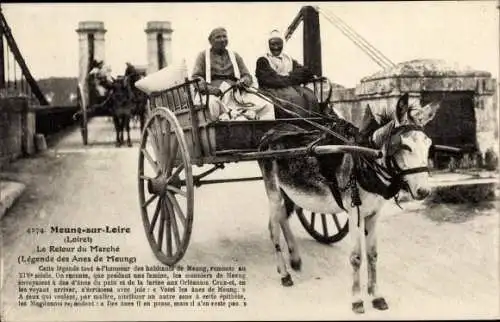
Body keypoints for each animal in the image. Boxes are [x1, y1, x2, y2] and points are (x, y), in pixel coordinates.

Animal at [260, 93, 440, 314]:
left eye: (429, 145)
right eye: (405, 146)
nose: (424, 191)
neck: (366, 161)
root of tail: (271, 132)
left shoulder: (374, 214)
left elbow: (372, 255)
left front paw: (376, 296)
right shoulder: (355, 213)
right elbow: (356, 257)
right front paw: (357, 300)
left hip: (288, 192)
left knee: (282, 219)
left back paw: (294, 259)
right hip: (274, 192)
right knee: (273, 228)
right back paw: (285, 274)